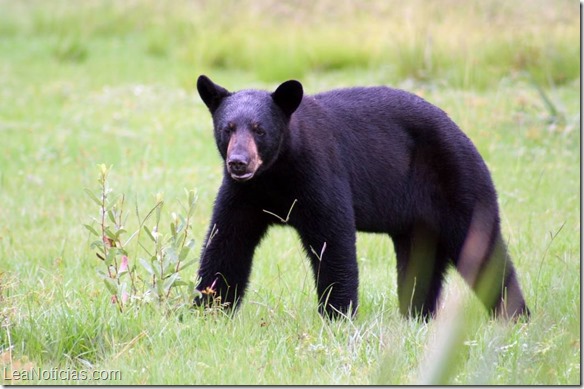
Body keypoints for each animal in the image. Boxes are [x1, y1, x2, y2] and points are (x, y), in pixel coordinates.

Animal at [195, 73, 528, 318]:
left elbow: (332, 237)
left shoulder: (319, 172)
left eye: (259, 129)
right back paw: (416, 315)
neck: (275, 173)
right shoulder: (244, 193)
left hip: (458, 184)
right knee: (418, 262)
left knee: (483, 250)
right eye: (228, 128)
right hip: (419, 222)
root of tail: (465, 137)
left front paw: (337, 314)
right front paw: (209, 307)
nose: (239, 162)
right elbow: (227, 240)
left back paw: (514, 314)